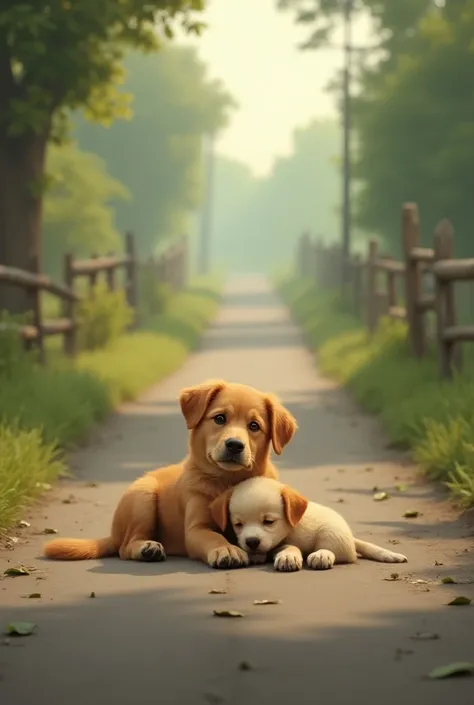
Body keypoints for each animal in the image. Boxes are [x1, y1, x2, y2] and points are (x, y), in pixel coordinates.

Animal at [44, 380, 296, 568]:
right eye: (220, 418)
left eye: (254, 426)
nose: (234, 445)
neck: (227, 482)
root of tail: (113, 535)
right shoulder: (196, 529)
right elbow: (213, 536)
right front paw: (226, 549)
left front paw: (288, 554)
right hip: (142, 497)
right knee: (125, 547)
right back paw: (147, 548)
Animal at [210, 476, 408, 568]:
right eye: (238, 524)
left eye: (269, 521)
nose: (251, 542)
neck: (290, 529)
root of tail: (351, 539)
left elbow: (289, 547)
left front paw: (288, 557)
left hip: (331, 533)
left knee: (336, 552)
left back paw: (321, 555)